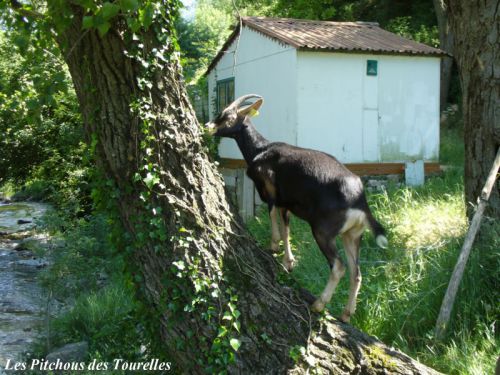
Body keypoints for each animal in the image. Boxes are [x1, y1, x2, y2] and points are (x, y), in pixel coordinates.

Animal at [205, 94, 388, 324]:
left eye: (227, 116)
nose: (208, 127)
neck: (260, 150)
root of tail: (359, 200)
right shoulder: (287, 203)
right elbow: (286, 228)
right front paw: (288, 262)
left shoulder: (270, 187)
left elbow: (272, 213)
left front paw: (273, 246)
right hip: (353, 235)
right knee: (356, 272)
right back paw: (346, 314)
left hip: (323, 230)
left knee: (339, 266)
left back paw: (319, 304)